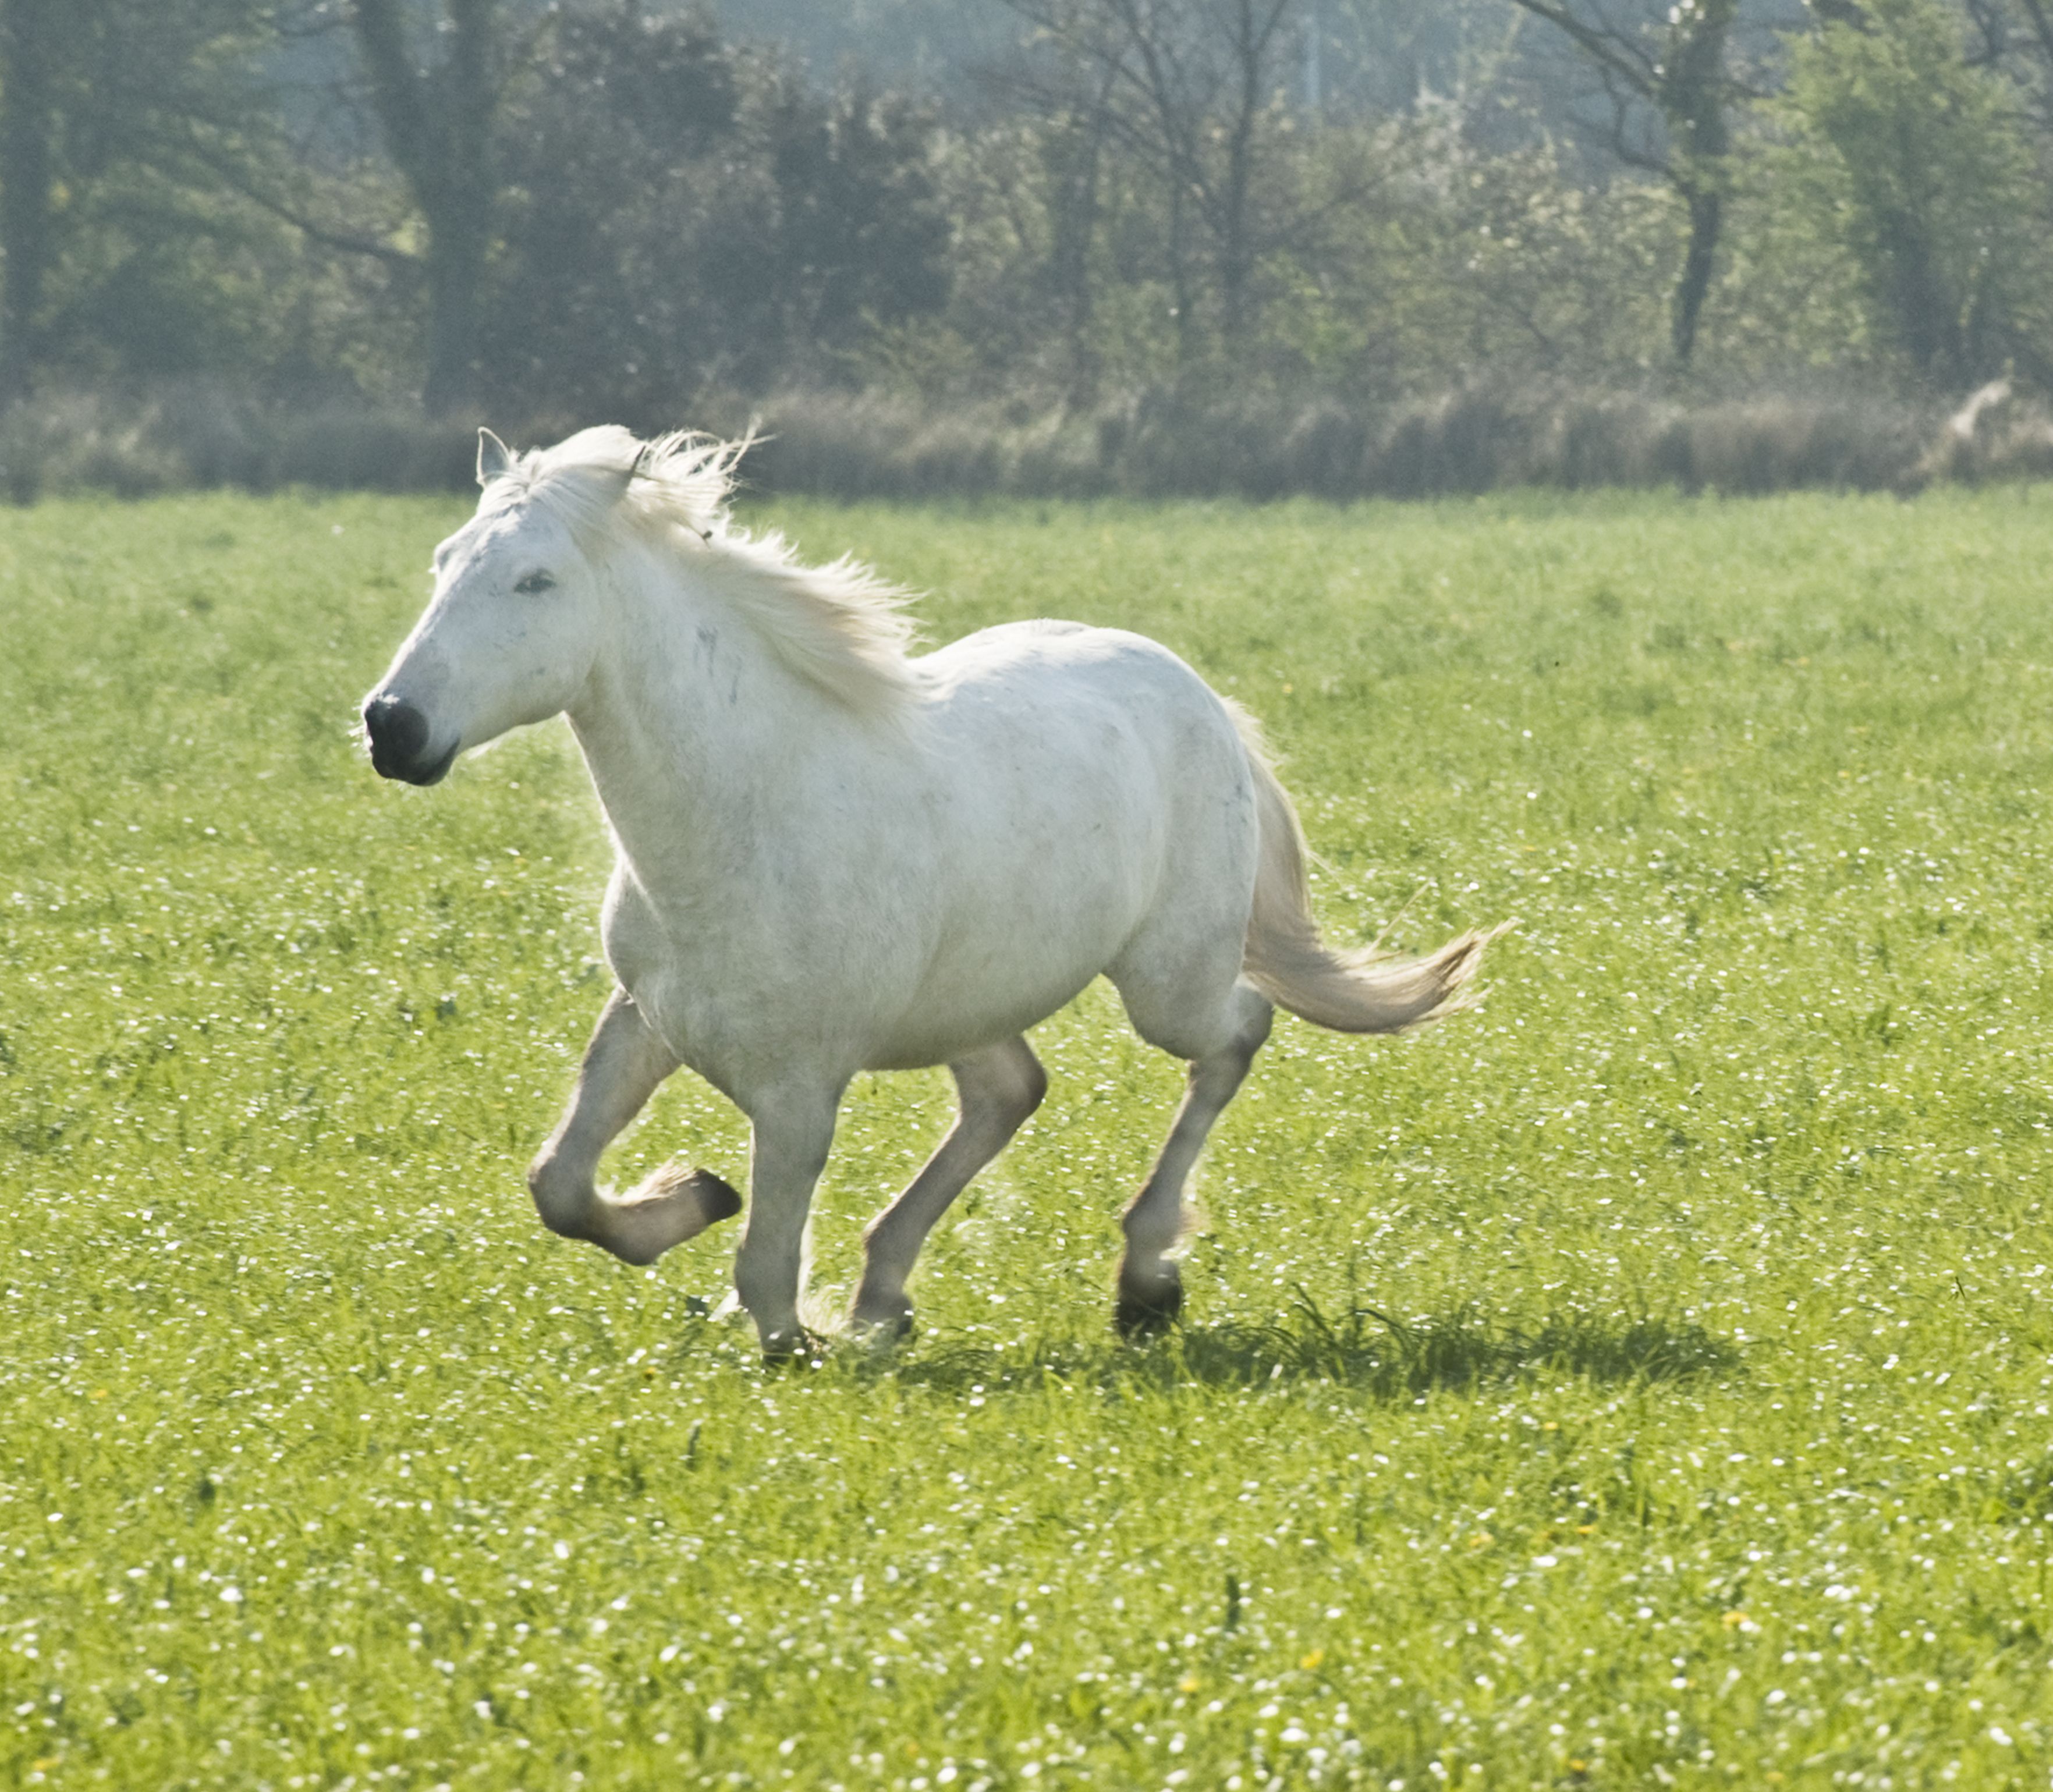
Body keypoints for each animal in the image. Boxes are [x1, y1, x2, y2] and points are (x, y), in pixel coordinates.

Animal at [361, 429, 1494, 1354]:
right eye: (445, 561)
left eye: (536, 581)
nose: (392, 727)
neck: (741, 817)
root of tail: (1196, 690)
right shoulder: (648, 1017)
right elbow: (560, 1185)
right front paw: (694, 1194)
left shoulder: (799, 1086)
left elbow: (767, 1272)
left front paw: (783, 1317)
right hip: (970, 998)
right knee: (1010, 1091)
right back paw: (884, 1297)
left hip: (1166, 981)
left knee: (1236, 1030)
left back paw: (1142, 1282)